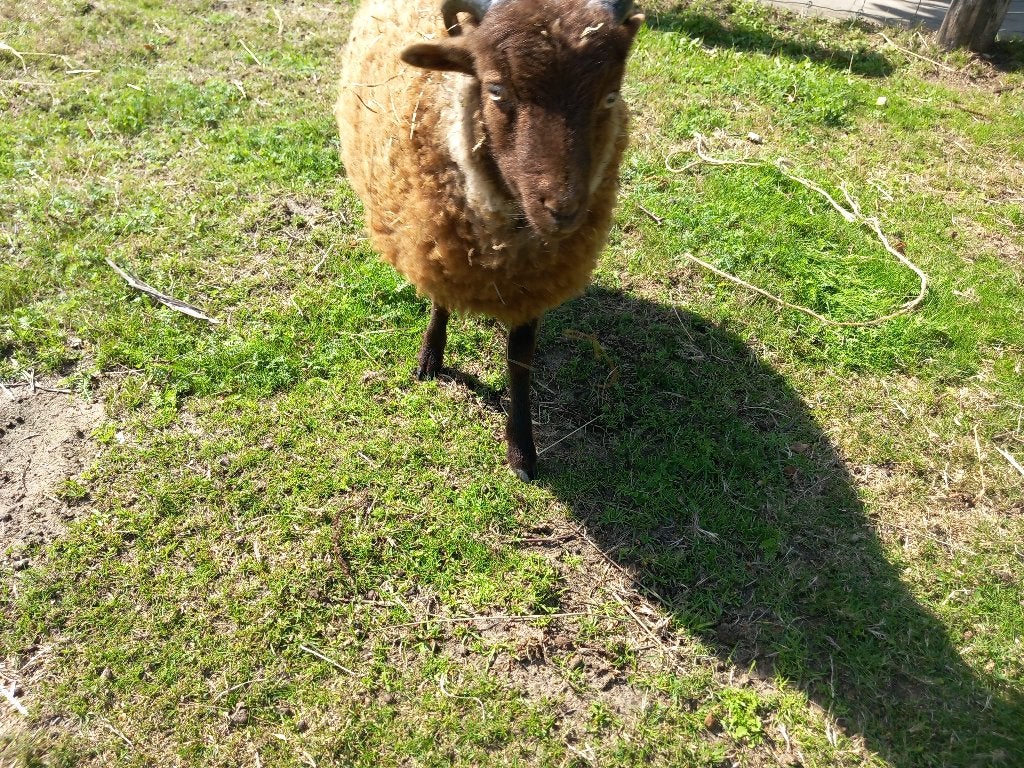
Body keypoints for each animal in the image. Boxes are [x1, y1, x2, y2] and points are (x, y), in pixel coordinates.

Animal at [335, 0, 644, 481]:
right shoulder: (436, 239)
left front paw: (521, 449)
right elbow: (440, 300)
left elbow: (520, 360)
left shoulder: (534, 285)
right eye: (496, 90)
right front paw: (430, 357)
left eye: (610, 95)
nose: (562, 210)